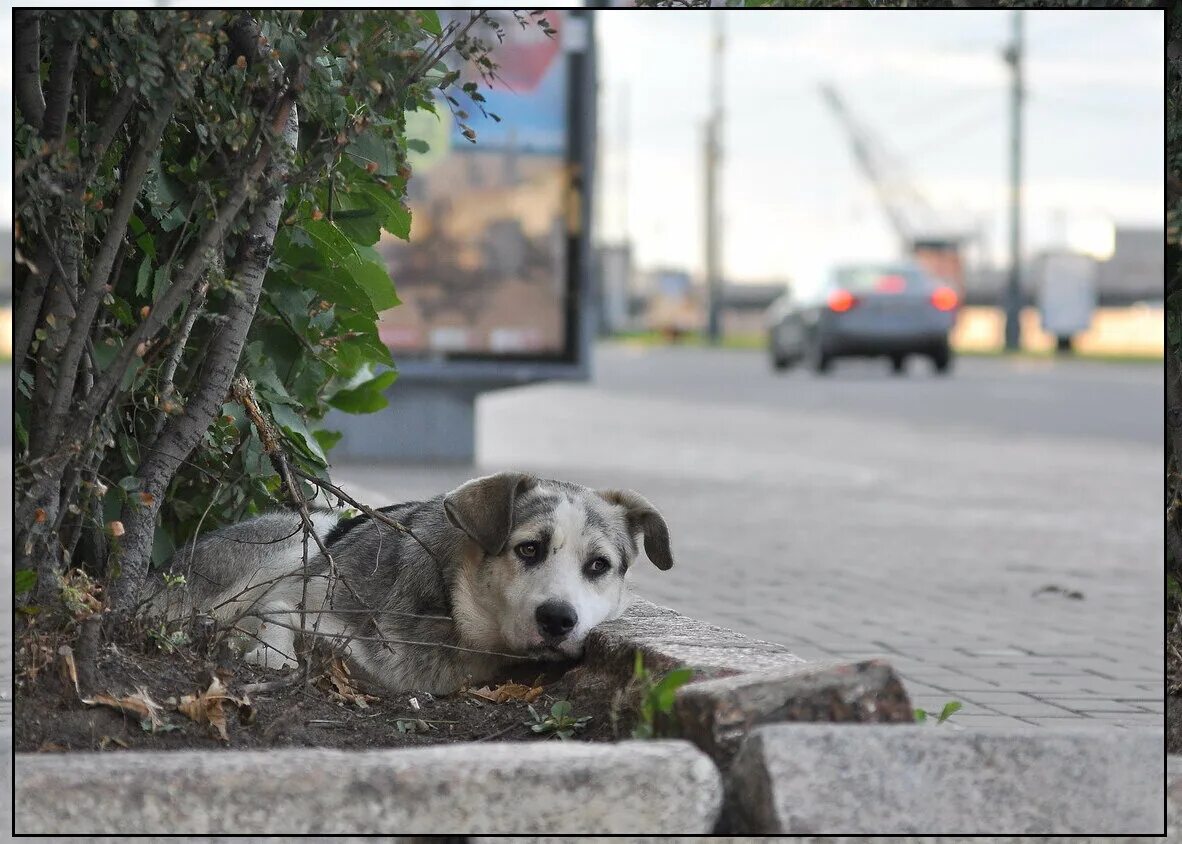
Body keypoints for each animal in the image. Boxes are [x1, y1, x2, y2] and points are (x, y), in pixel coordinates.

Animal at [145, 470, 676, 695]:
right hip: (294, 539)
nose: (559, 620)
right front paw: (266, 653)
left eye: (599, 566)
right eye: (529, 549)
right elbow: (276, 616)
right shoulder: (307, 591)